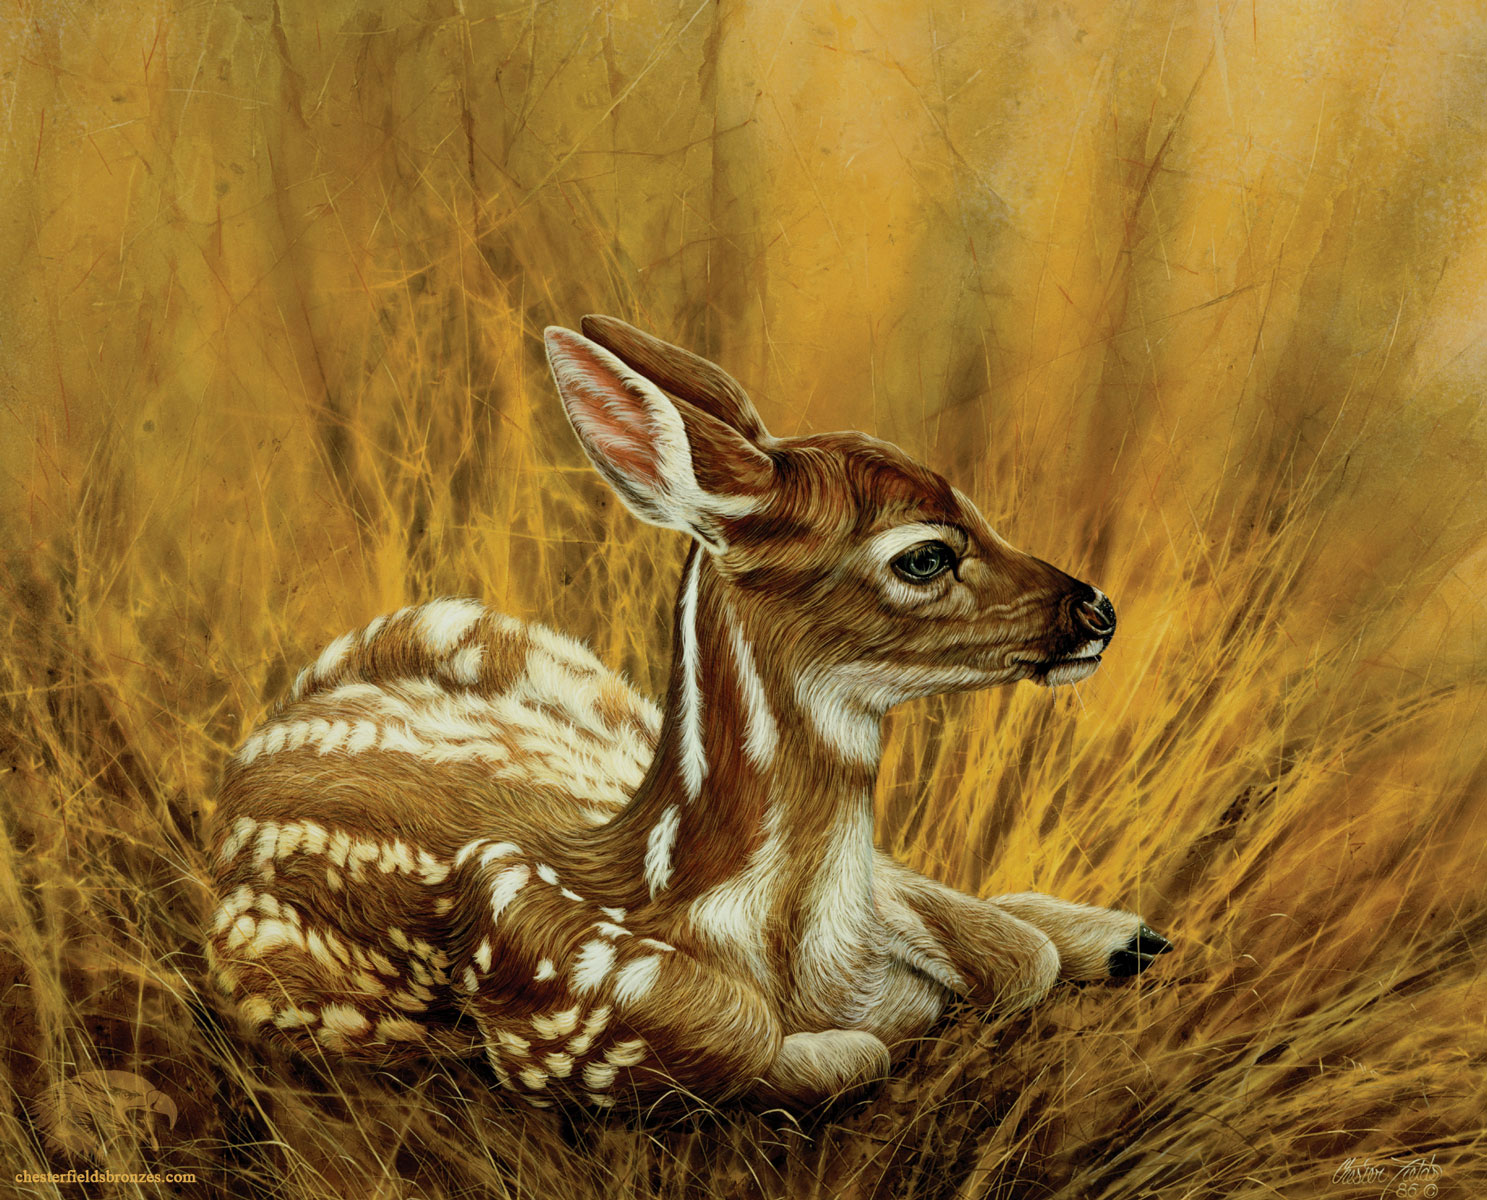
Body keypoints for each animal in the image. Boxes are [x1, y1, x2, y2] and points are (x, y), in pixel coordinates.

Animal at [204, 315, 1171, 1111]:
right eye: (925, 555)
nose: (1096, 609)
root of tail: (273, 727)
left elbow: (1013, 956)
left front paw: (1110, 938)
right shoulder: (580, 1008)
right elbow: (828, 1050)